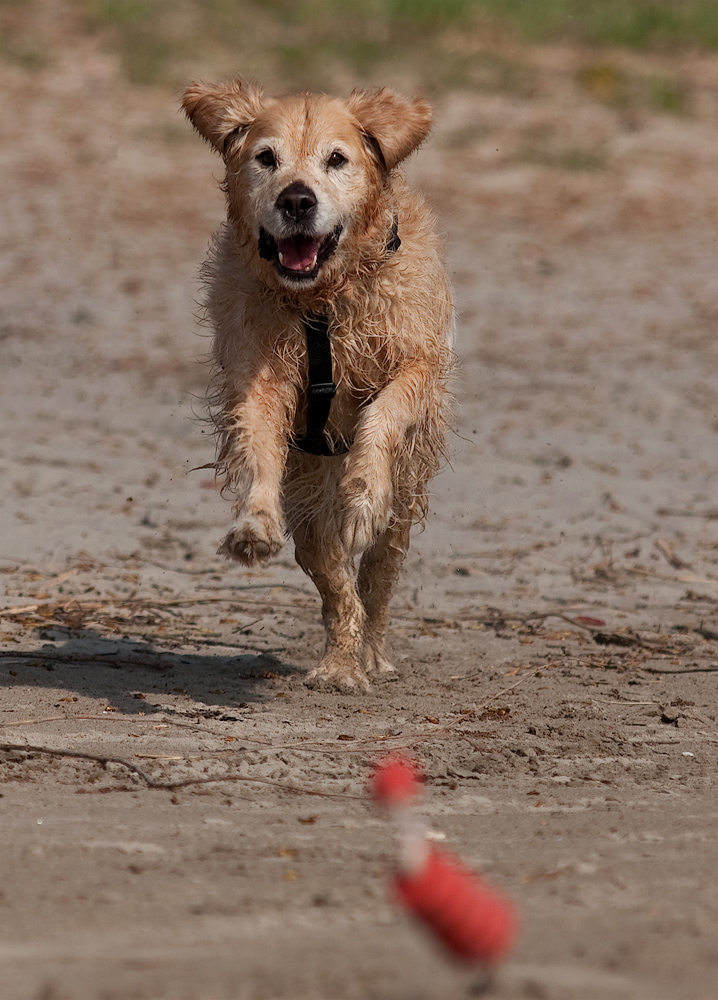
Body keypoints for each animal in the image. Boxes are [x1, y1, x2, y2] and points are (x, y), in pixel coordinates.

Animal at [186, 80, 456, 688]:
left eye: (337, 159)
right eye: (266, 158)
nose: (296, 200)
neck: (321, 302)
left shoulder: (417, 364)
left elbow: (383, 412)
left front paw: (362, 493)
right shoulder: (259, 377)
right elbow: (261, 447)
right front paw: (254, 524)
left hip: (406, 497)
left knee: (378, 575)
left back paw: (372, 654)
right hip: (309, 507)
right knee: (335, 583)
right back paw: (339, 665)